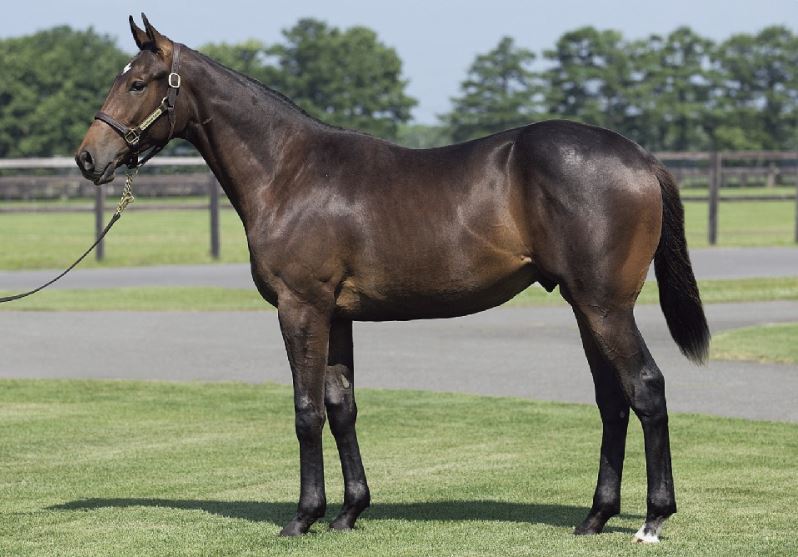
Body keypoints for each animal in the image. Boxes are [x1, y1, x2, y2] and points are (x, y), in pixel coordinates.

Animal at [76, 15, 710, 543]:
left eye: (138, 84)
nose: (87, 158)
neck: (289, 172)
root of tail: (640, 158)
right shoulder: (336, 316)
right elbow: (341, 407)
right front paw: (349, 511)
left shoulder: (300, 307)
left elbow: (306, 411)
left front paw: (302, 517)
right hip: (586, 307)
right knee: (613, 401)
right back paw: (595, 516)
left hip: (606, 306)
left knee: (646, 388)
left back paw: (653, 519)